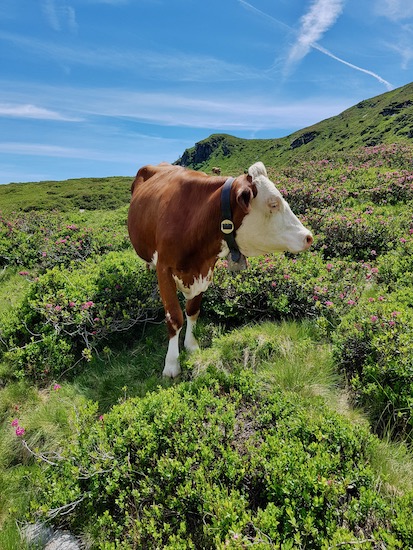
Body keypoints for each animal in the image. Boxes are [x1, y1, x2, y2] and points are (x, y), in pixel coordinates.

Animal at [127, 163, 310, 380]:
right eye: (273, 204)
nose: (308, 236)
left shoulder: (205, 270)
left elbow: (192, 310)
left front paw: (191, 346)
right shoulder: (165, 269)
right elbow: (174, 317)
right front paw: (171, 364)